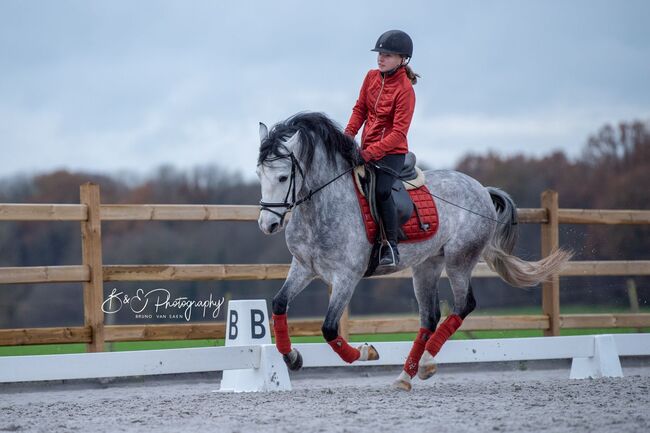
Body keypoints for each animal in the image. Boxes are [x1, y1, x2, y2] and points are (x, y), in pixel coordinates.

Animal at [256, 112, 568, 392]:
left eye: (283, 177)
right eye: (259, 174)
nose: (267, 224)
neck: (321, 207)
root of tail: (480, 188)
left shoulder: (347, 277)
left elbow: (330, 329)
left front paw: (367, 352)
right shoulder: (303, 267)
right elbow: (279, 304)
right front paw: (292, 357)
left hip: (460, 260)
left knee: (463, 305)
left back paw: (427, 362)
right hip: (427, 266)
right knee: (429, 317)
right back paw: (407, 375)